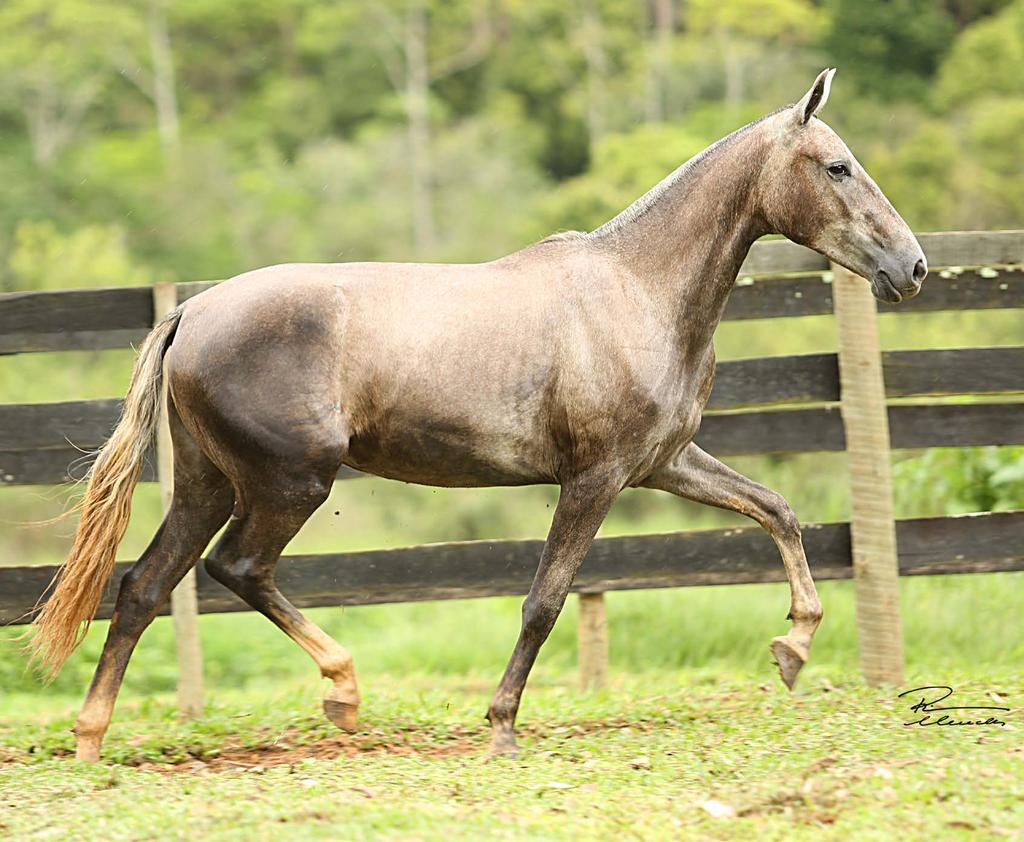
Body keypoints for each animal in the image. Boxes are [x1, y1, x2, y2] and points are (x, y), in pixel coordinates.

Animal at [29, 69, 929, 762]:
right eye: (838, 167)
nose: (912, 266)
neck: (637, 291)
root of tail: (192, 312)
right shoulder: (596, 478)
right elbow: (544, 601)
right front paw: (500, 728)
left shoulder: (664, 463)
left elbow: (778, 510)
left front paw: (793, 648)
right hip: (291, 483)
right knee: (239, 569)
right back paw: (343, 692)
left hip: (208, 482)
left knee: (144, 586)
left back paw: (91, 739)